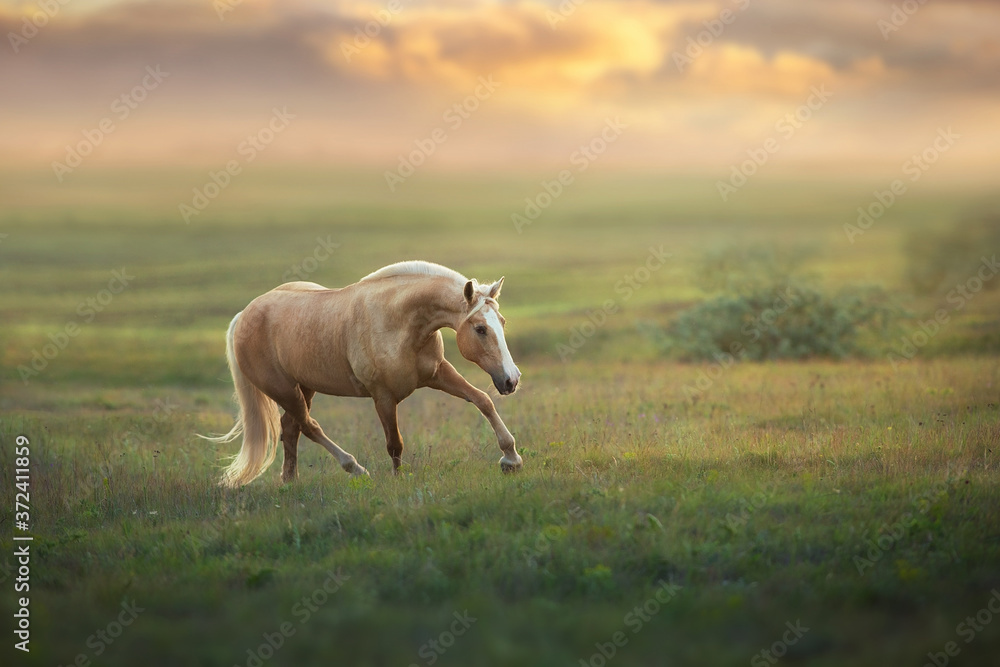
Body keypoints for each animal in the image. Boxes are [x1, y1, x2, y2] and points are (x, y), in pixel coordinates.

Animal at [201, 261, 523, 487]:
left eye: (503, 321)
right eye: (480, 329)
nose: (511, 379)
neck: (399, 321)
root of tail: (244, 315)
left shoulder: (437, 375)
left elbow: (482, 401)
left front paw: (511, 459)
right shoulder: (382, 397)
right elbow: (395, 443)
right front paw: (397, 480)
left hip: (304, 387)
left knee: (291, 428)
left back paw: (290, 482)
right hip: (284, 391)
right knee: (309, 426)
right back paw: (355, 469)